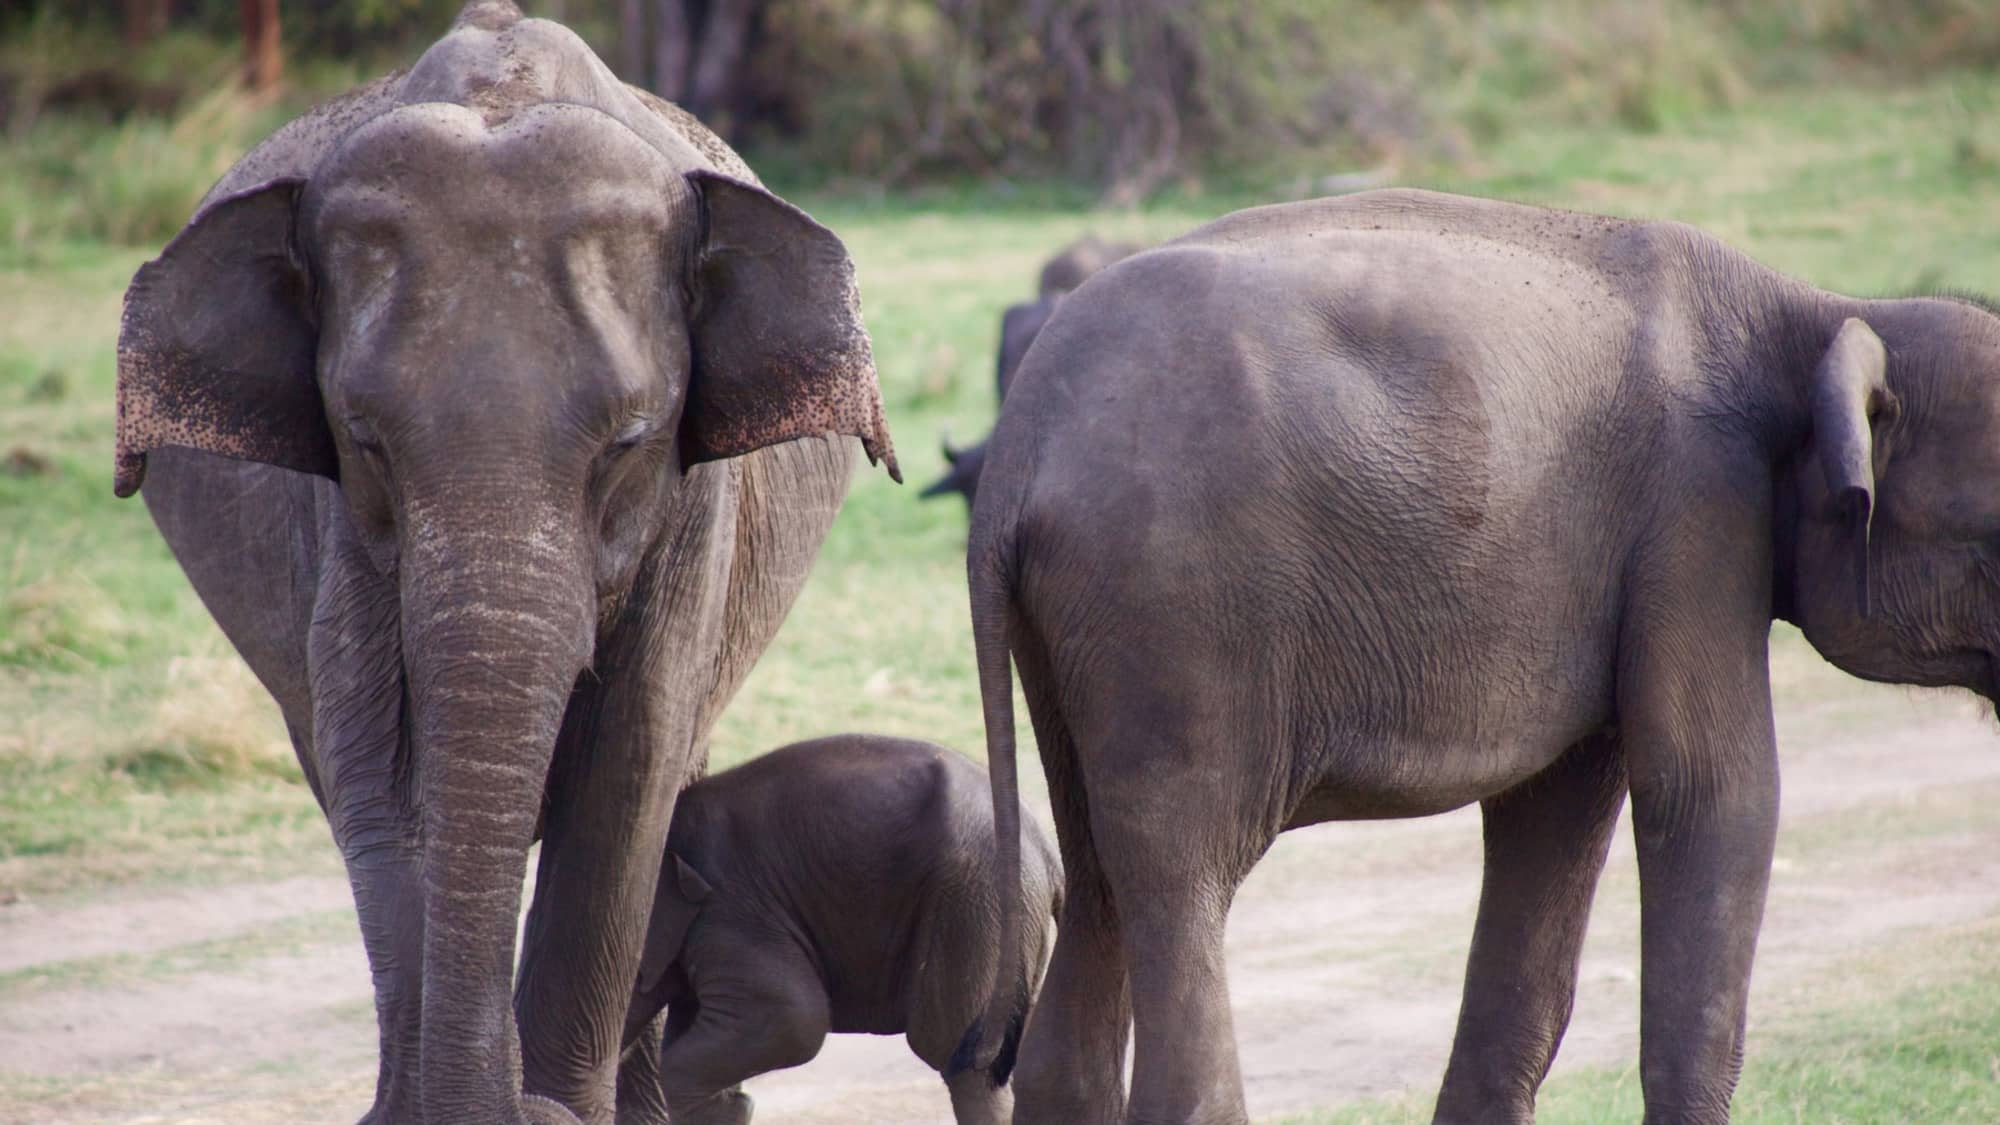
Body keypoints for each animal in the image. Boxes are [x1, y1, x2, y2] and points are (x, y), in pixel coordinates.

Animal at [109, 4, 892, 1112]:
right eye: (364, 439)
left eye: (626, 442)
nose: (520, 1099)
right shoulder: (338, 529)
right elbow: (379, 768)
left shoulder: (695, 510)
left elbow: (630, 763)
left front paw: (560, 1108)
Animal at [960, 188, 2000, 1112]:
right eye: (1991, 540)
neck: (1823, 310)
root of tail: (1016, 447)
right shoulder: (1699, 513)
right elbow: (1713, 793)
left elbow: (1557, 813)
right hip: (1173, 616)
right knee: (1178, 888)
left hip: (1082, 637)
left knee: (1095, 891)